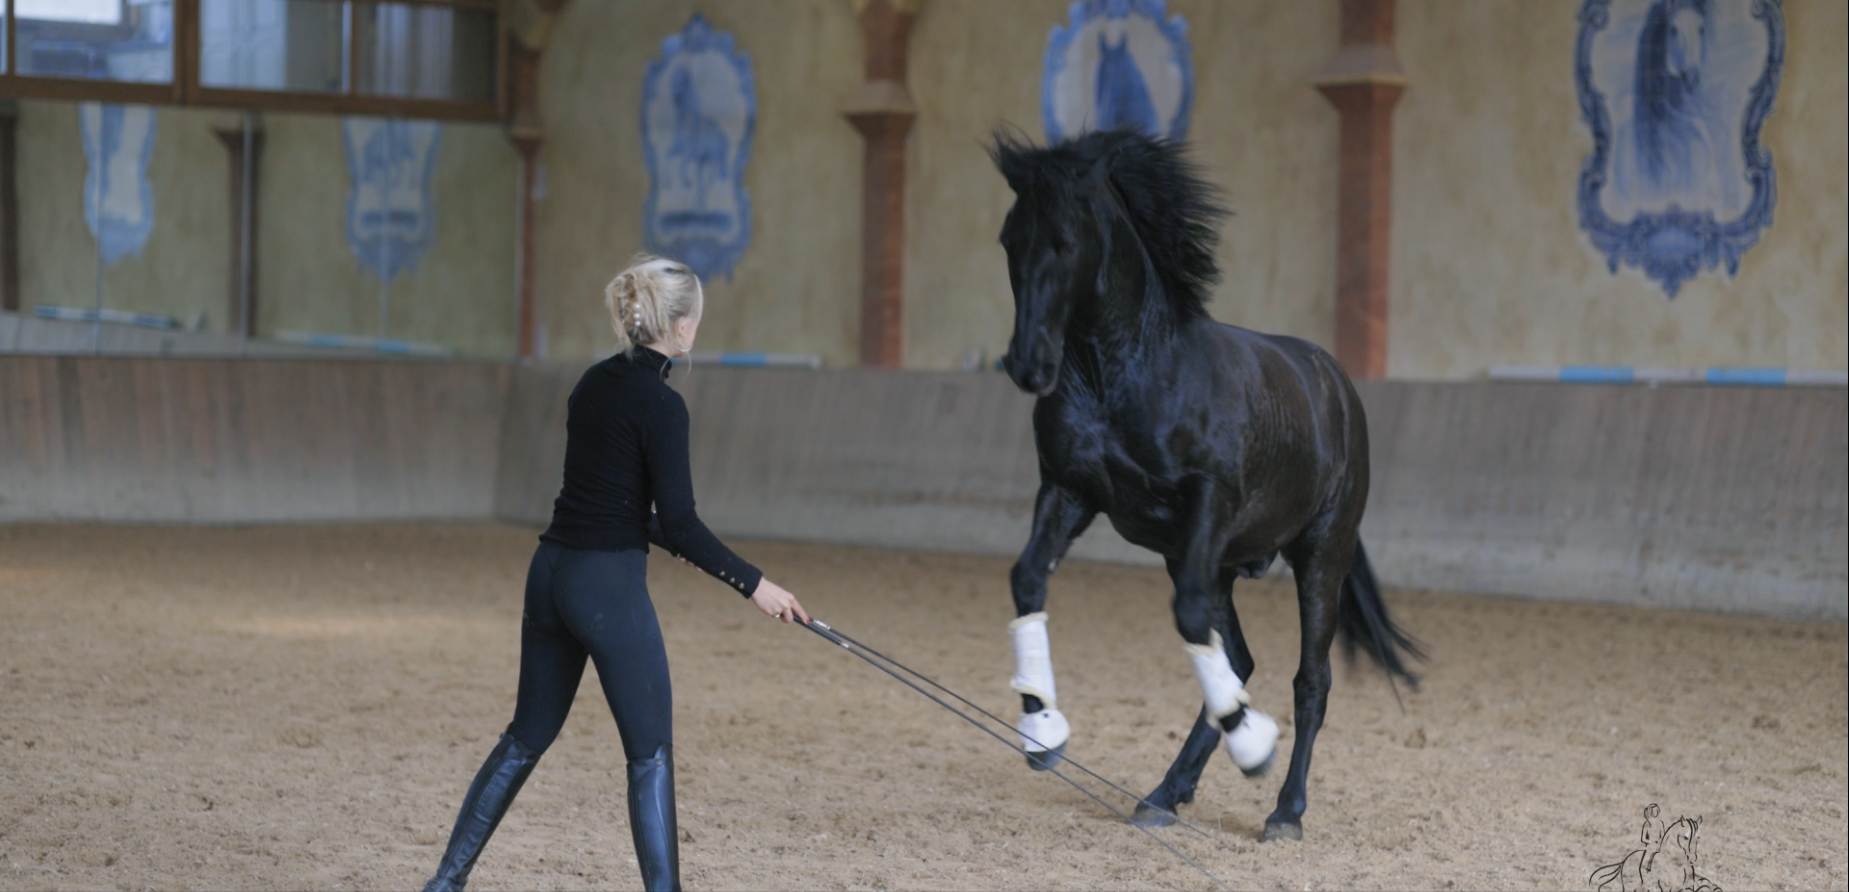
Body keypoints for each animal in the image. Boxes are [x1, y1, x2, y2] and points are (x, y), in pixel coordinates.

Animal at [991, 126, 1420, 843]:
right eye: (1007, 239)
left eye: (1065, 241)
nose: (1027, 365)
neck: (1124, 374)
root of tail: (1336, 387)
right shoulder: (1070, 492)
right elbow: (1027, 579)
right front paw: (1042, 732)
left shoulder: (1207, 502)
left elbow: (1192, 620)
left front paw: (1255, 748)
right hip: (1212, 562)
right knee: (1237, 659)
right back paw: (1165, 792)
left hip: (1320, 555)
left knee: (1311, 680)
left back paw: (1284, 809)